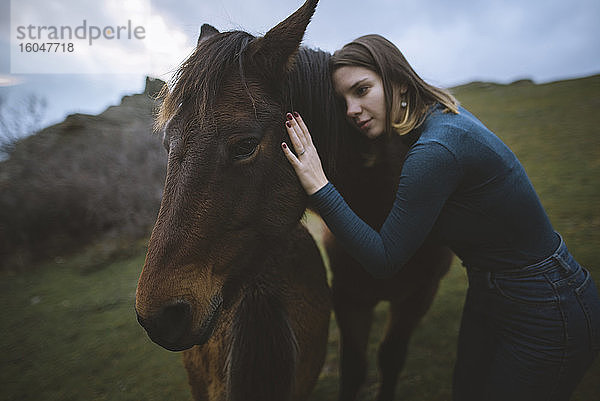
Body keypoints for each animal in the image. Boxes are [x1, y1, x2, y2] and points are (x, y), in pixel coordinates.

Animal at [137, 0, 454, 398]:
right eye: (167, 143)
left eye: (245, 145)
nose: (159, 315)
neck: (382, 209)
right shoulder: (350, 297)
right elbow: (354, 367)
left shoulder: (417, 297)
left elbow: (389, 359)